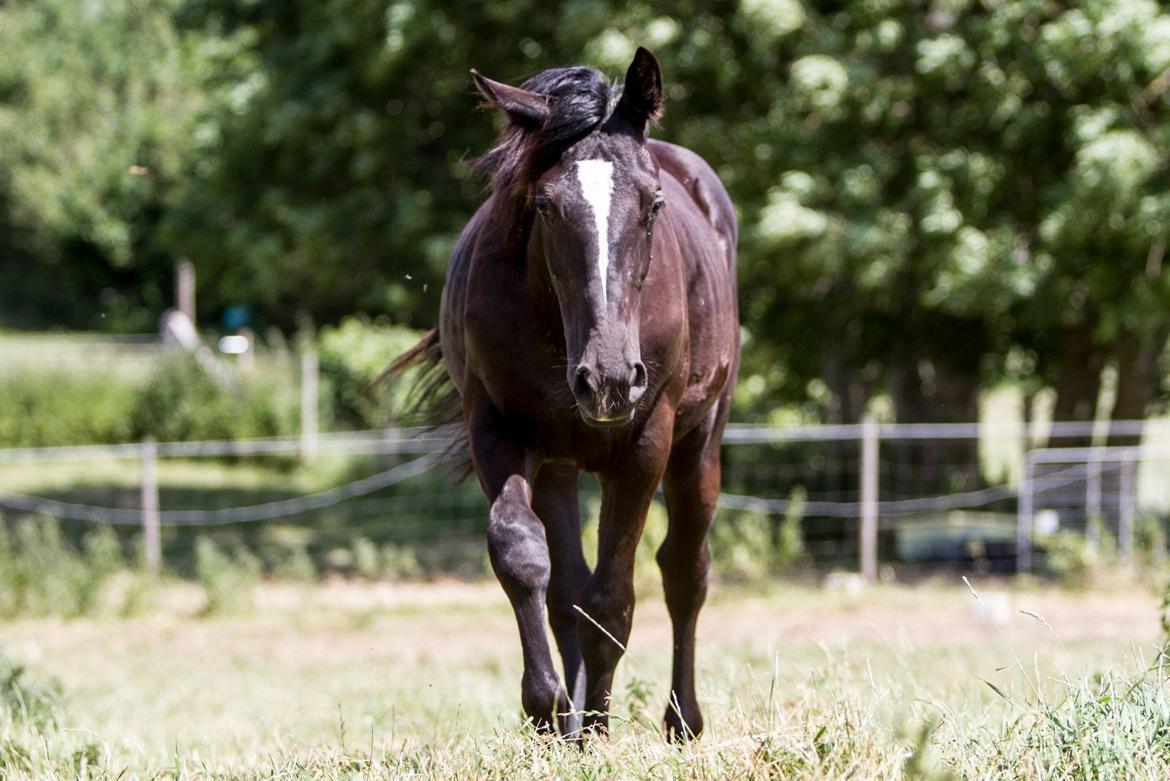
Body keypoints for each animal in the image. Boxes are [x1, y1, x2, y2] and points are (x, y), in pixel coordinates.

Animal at [397, 45, 734, 743]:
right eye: (546, 206)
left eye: (653, 204)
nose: (609, 378)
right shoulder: (498, 431)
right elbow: (525, 557)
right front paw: (550, 711)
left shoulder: (644, 443)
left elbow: (614, 598)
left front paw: (598, 726)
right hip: (557, 465)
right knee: (568, 585)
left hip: (699, 441)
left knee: (685, 570)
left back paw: (681, 719)